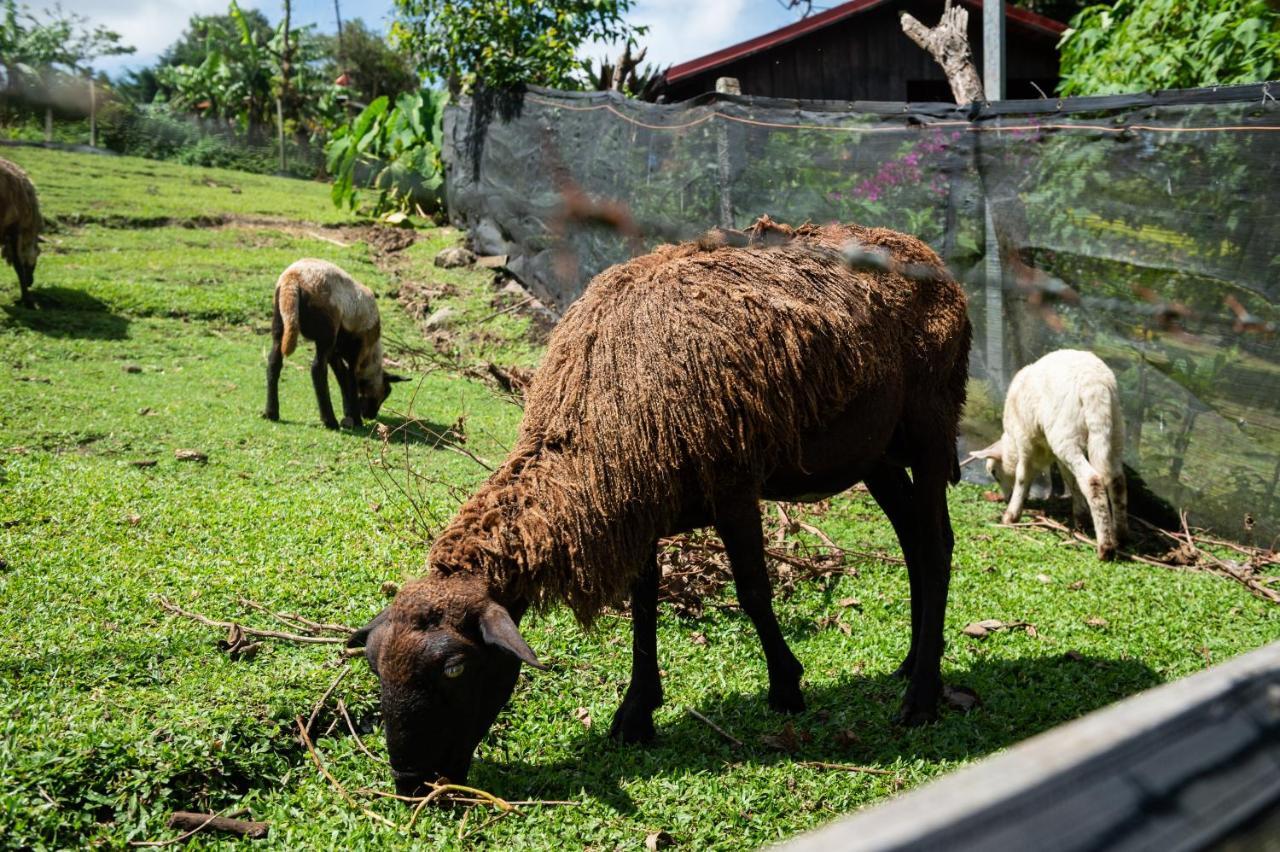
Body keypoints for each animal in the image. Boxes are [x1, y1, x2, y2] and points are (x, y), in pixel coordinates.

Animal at [266, 257, 409, 432]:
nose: (371, 415)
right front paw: (356, 419)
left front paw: (349, 413)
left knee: (274, 361)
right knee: (317, 370)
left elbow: (342, 378)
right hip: (326, 330)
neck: (371, 355)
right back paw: (330, 421)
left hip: (280, 321)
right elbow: (351, 379)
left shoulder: (335, 352)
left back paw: (271, 413)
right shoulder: (357, 350)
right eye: (386, 391)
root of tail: (293, 278)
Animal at [350, 216, 967, 788]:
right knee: (916, 540)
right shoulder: (637, 510)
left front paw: (785, 686)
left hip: (930, 423)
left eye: (454, 669)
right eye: (375, 665)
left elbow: (753, 592)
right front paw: (636, 713)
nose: (411, 783)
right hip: (874, 453)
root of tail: (927, 255)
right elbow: (644, 605)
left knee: (934, 548)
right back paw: (912, 662)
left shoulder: (734, 486)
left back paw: (921, 697)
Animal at [972, 347, 1126, 557]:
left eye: (994, 473)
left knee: (1092, 480)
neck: (1011, 442)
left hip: (1065, 432)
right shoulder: (1055, 455)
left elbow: (1023, 476)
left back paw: (1106, 548)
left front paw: (1011, 515)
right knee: (1117, 480)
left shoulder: (1025, 440)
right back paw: (1121, 535)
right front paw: (1080, 517)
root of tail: (1094, 385)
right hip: (1112, 430)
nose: (1005, 498)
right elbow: (1071, 480)